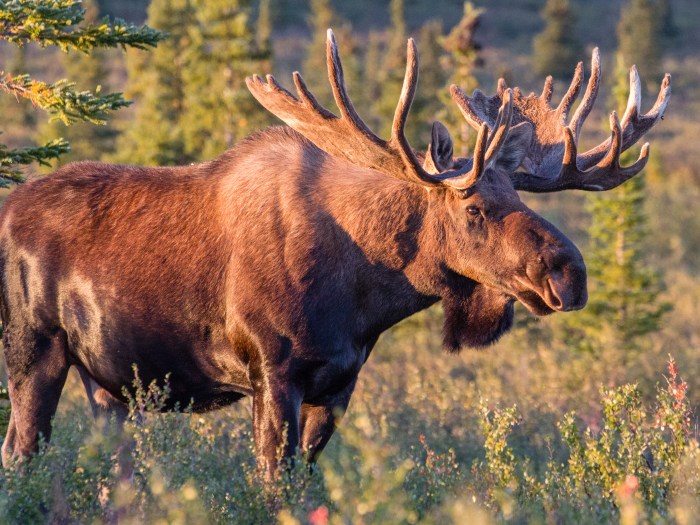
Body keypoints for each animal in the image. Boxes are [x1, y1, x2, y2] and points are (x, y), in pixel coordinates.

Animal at [0, 30, 670, 477]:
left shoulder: (339, 385)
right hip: (35, 350)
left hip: (108, 383)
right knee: (20, 451)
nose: (570, 273)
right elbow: (271, 482)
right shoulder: (273, 375)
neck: (363, 296)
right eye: (475, 208)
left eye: (519, 195)